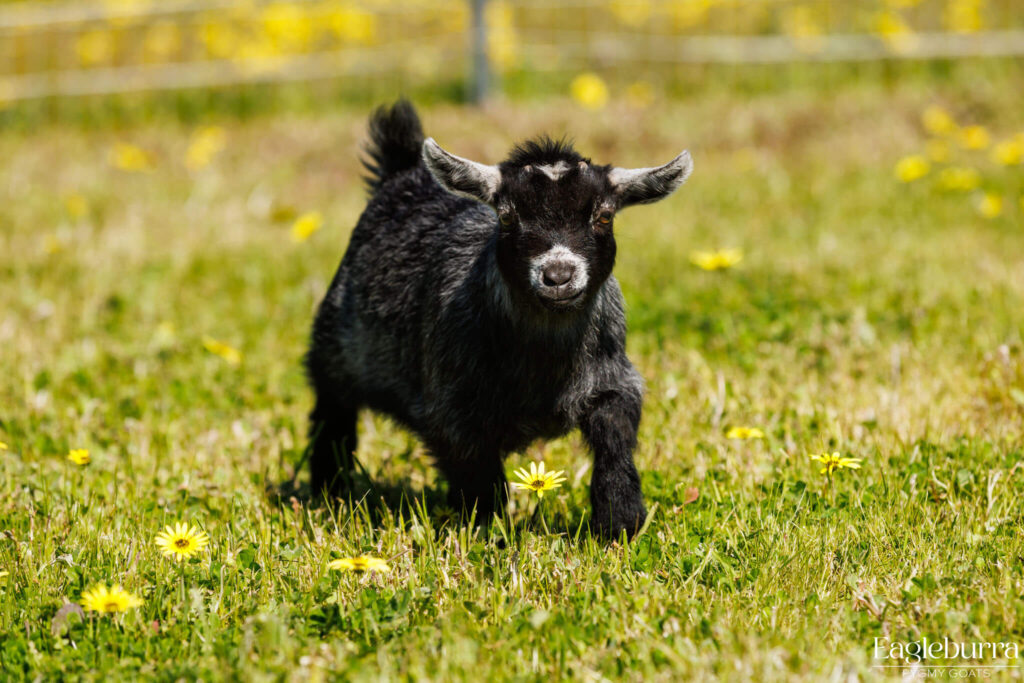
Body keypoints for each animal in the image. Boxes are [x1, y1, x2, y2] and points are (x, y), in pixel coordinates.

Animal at [306, 100, 692, 538]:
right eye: (507, 218)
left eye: (604, 216)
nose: (558, 275)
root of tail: (403, 174)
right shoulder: (453, 409)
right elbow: (479, 478)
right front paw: (485, 533)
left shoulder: (613, 380)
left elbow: (615, 438)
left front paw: (619, 524)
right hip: (336, 347)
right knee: (331, 414)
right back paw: (330, 490)